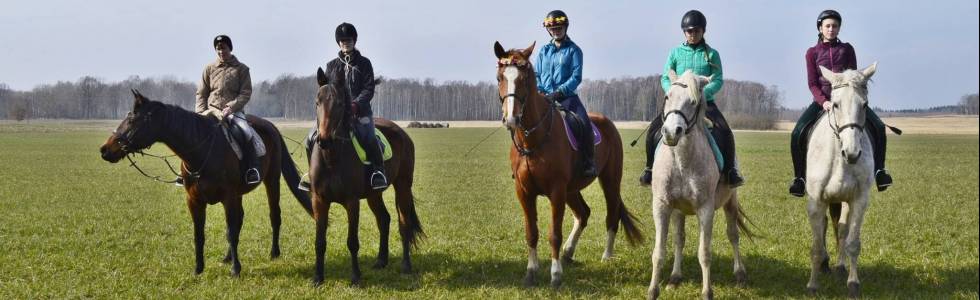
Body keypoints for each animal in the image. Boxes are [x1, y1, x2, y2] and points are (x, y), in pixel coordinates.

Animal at [97, 89, 312, 276]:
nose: (105, 150)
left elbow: (230, 231)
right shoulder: (195, 201)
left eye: (132, 120)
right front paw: (198, 269)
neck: (200, 153)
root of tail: (271, 127)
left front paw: (235, 270)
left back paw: (273, 253)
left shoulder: (228, 198)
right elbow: (199, 234)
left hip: (271, 180)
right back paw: (227, 257)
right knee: (241, 219)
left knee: (274, 214)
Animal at [308, 67, 424, 288]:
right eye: (317, 102)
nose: (324, 140)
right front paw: (318, 277)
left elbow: (352, 242)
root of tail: (402, 133)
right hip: (373, 195)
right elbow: (319, 242)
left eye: (340, 104)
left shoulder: (352, 202)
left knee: (404, 223)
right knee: (384, 219)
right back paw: (381, 261)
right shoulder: (319, 200)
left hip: (403, 186)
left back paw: (405, 265)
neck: (332, 158)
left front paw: (355, 277)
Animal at [490, 41, 644, 288]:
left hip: (609, 180)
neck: (533, 139)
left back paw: (606, 256)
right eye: (499, 77)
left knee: (611, 215)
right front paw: (531, 272)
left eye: (524, 79)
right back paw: (569, 252)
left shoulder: (556, 190)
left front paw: (555, 276)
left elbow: (554, 233)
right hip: (571, 190)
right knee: (583, 213)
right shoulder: (524, 191)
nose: (511, 119)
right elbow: (531, 232)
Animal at [648, 70, 756, 300]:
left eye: (692, 101)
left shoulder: (705, 209)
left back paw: (740, 273)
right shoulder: (662, 206)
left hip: (730, 202)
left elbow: (704, 253)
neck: (682, 161)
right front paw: (653, 290)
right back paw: (675, 277)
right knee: (679, 239)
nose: (671, 132)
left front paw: (707, 292)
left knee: (733, 235)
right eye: (667, 96)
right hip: (678, 210)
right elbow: (659, 252)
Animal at [804, 63, 880, 298]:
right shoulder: (816, 201)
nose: (852, 153)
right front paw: (812, 285)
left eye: (864, 105)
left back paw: (839, 267)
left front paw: (853, 284)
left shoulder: (859, 200)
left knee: (842, 228)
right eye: (835, 104)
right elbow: (816, 246)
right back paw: (825, 265)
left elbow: (852, 242)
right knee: (825, 226)